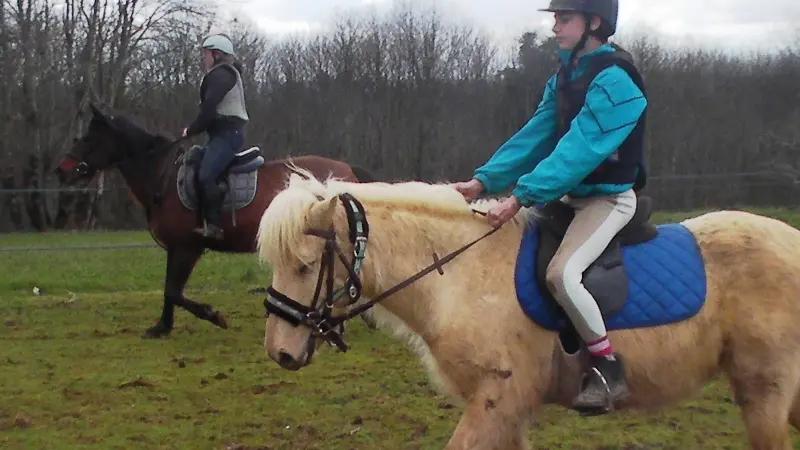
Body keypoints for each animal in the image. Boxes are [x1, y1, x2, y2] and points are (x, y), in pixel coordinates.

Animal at [54, 103, 376, 338]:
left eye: (89, 138)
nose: (61, 170)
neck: (165, 178)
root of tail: (346, 168)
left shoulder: (188, 248)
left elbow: (174, 291)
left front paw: (213, 315)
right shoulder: (176, 248)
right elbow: (169, 290)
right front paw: (162, 327)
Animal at [255, 168, 800, 450]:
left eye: (304, 266)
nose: (280, 352)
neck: (464, 273)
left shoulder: (498, 399)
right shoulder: (507, 410)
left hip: (764, 392)